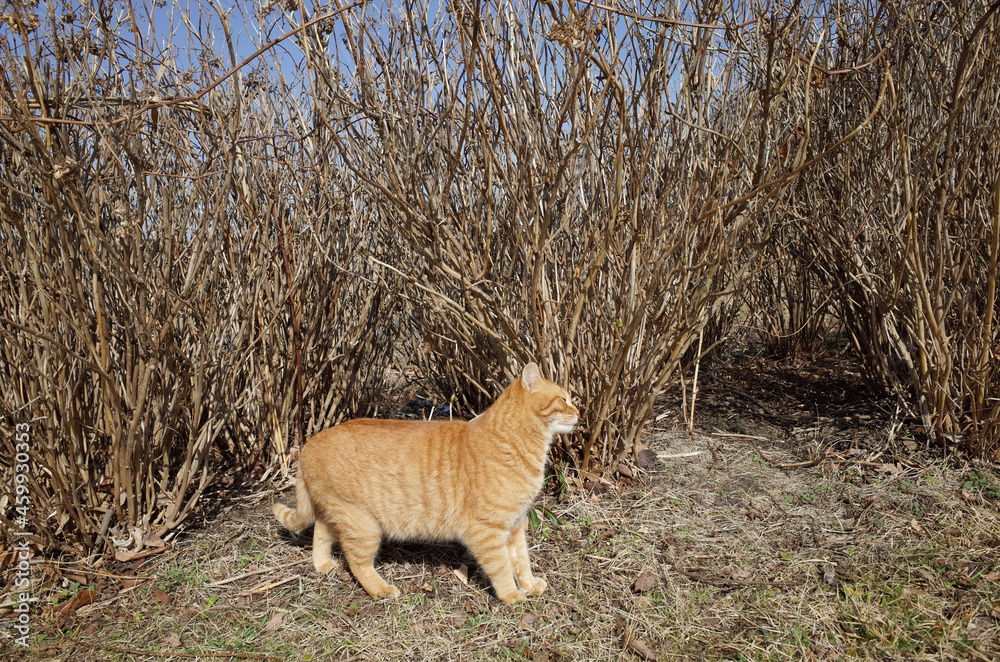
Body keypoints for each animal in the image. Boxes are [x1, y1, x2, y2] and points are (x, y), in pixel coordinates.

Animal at [272, 364, 580, 608]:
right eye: (563, 399)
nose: (578, 412)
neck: (513, 441)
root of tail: (311, 442)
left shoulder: (515, 525)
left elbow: (521, 561)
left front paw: (528, 585)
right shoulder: (487, 531)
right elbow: (502, 567)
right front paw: (511, 595)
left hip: (338, 513)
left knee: (320, 532)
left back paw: (322, 564)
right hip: (362, 525)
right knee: (356, 561)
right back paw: (380, 589)